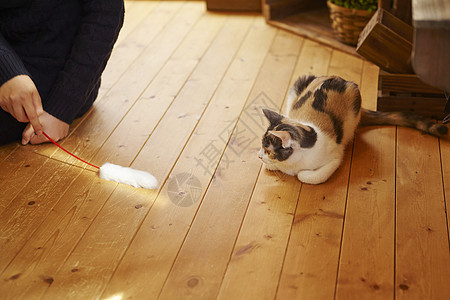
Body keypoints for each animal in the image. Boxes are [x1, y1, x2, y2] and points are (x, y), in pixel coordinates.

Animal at [258, 74, 448, 184]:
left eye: (268, 150)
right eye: (262, 148)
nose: (259, 155)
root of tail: (340, 79)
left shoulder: (335, 158)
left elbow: (308, 176)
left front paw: (298, 173)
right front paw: (272, 166)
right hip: (299, 83)